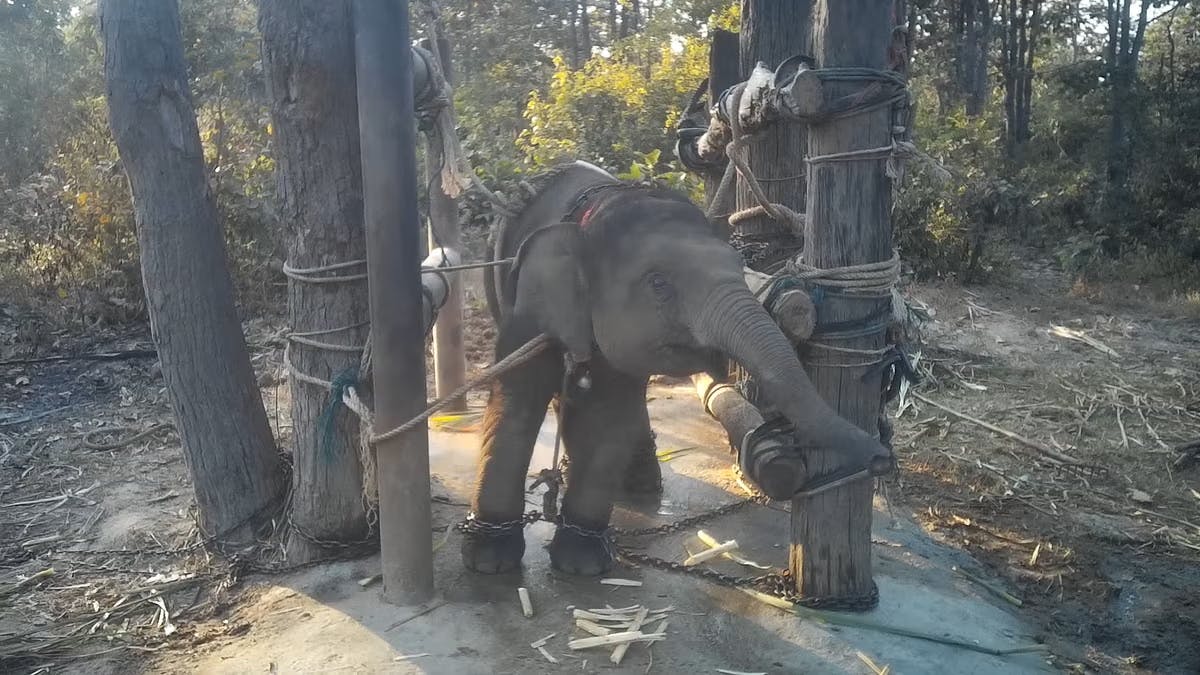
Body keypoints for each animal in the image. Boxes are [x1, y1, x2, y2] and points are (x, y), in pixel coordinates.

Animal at [465, 158, 892, 571]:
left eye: (740, 268)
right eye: (659, 284)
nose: (881, 458)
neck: (598, 213)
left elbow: (608, 415)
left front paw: (582, 561)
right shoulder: (529, 308)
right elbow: (517, 402)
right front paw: (491, 558)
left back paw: (638, 484)